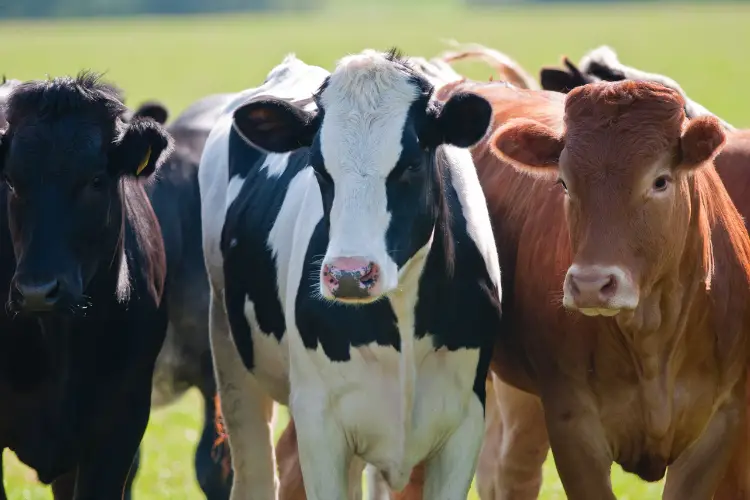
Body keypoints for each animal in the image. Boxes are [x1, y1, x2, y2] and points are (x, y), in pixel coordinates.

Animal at [203, 50, 502, 500]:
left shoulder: (466, 421)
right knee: (255, 470)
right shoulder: (318, 422)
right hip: (230, 352)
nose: (349, 275)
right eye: (319, 168)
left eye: (410, 164)